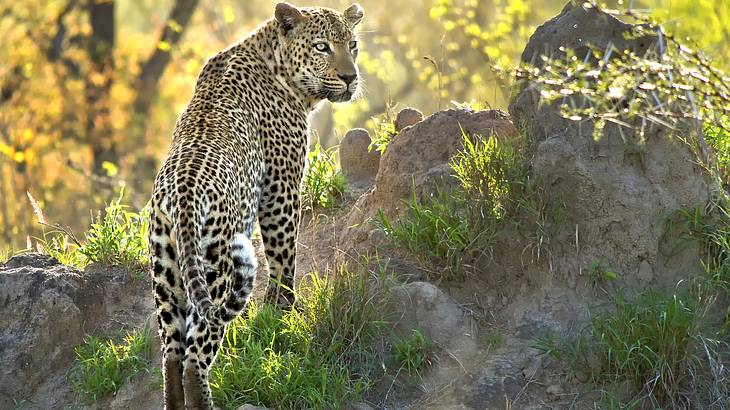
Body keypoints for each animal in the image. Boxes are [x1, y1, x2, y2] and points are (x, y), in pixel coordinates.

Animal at [147, 3, 364, 409]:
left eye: (353, 45)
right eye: (323, 47)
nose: (350, 77)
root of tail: (182, 195)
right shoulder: (281, 188)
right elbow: (284, 256)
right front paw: (284, 310)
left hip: (166, 272)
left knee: (171, 355)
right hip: (217, 269)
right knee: (195, 356)